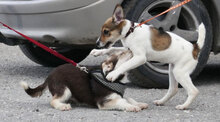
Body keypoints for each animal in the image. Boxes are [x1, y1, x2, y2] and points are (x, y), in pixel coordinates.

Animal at [20, 49, 148, 111]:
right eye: (122, 54)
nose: (131, 49)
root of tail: (49, 76)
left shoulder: (117, 95)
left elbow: (128, 98)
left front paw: (139, 104)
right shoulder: (104, 102)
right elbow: (122, 102)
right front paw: (132, 107)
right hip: (64, 89)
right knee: (53, 101)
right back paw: (62, 106)